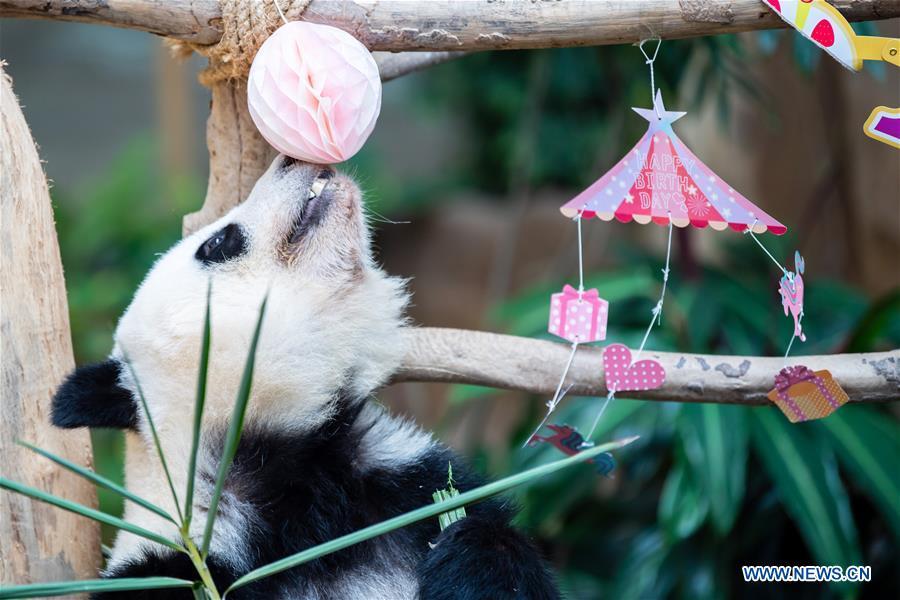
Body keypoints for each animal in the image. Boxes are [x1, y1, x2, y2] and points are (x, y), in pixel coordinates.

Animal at [52, 156, 560, 600]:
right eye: (217, 243)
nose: (289, 159)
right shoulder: (184, 564)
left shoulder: (399, 487)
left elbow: (490, 541)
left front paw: (465, 549)